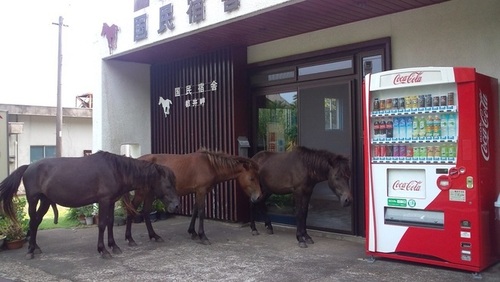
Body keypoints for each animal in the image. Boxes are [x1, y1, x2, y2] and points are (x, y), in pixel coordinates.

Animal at [0, 151, 180, 258]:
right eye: (168, 185)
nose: (177, 206)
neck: (116, 169)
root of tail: (28, 166)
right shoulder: (104, 201)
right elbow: (102, 224)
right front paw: (103, 250)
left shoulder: (111, 201)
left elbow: (110, 223)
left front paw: (113, 246)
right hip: (33, 199)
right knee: (32, 222)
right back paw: (30, 251)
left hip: (45, 200)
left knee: (36, 222)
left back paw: (35, 247)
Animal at [125, 149, 264, 246]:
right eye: (252, 178)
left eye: (258, 177)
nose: (258, 197)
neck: (210, 165)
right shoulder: (201, 191)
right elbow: (201, 212)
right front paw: (203, 236)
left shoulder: (198, 191)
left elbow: (195, 210)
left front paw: (193, 232)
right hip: (142, 193)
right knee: (131, 210)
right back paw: (130, 239)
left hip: (150, 194)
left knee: (146, 212)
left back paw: (154, 236)